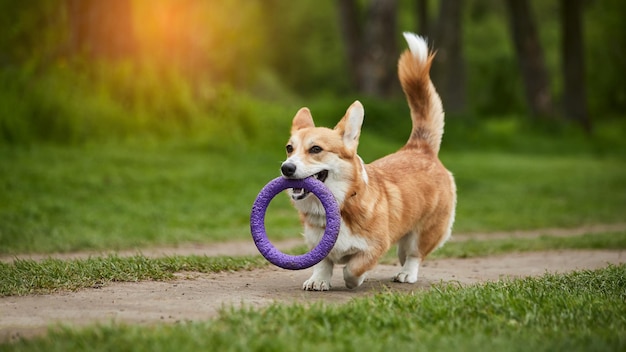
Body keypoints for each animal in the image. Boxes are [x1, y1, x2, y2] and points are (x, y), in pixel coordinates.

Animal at [280, 32, 456, 292]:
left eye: (316, 149)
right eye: (289, 149)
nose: (286, 168)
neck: (341, 204)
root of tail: (419, 147)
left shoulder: (376, 245)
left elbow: (354, 267)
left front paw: (355, 280)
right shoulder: (317, 245)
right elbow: (324, 262)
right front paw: (318, 280)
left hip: (427, 230)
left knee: (415, 253)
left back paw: (407, 273)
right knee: (404, 251)